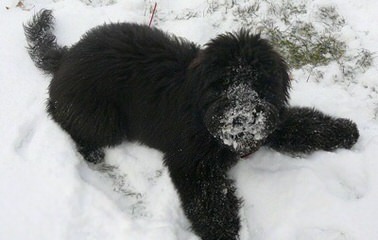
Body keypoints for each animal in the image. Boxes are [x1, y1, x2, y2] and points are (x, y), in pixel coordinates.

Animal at [25, 9, 358, 240]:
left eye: (258, 80)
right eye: (223, 82)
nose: (242, 116)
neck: (203, 110)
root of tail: (67, 56)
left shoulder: (271, 119)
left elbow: (302, 122)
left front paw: (343, 131)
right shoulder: (191, 159)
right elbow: (207, 197)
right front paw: (223, 230)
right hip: (103, 118)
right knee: (61, 116)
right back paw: (91, 151)